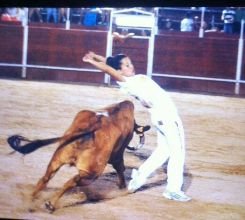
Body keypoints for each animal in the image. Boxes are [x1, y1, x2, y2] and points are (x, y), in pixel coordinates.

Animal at [7, 100, 149, 211]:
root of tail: (91, 128)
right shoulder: (117, 155)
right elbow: (120, 168)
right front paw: (123, 187)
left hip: (57, 159)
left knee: (45, 178)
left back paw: (30, 200)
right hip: (92, 173)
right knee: (73, 180)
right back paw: (50, 204)